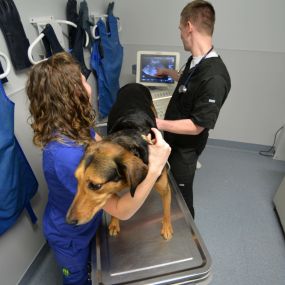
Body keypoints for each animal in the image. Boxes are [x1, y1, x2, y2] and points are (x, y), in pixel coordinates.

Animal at [66, 82, 172, 240]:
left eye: (95, 186)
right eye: (76, 180)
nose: (68, 221)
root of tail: (133, 83)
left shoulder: (165, 188)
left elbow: (166, 209)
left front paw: (166, 227)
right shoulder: (111, 189)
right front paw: (114, 223)